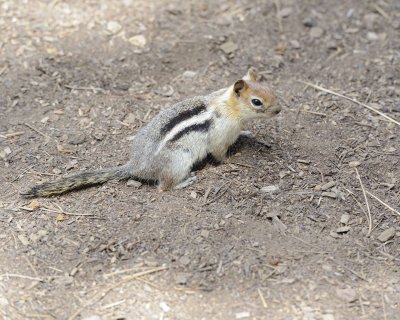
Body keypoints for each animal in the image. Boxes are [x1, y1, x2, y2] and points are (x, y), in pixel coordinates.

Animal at [21, 69, 278, 196]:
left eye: (271, 90)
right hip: (178, 161)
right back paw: (185, 182)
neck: (229, 108)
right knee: (163, 187)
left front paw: (246, 135)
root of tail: (137, 166)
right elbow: (219, 155)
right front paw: (232, 160)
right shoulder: (219, 137)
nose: (279, 110)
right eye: (256, 102)